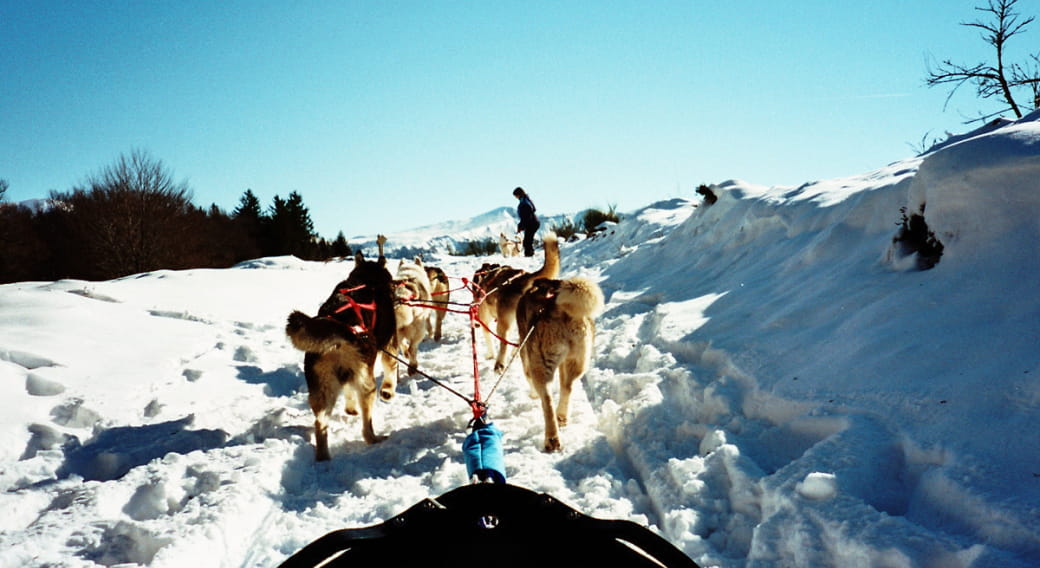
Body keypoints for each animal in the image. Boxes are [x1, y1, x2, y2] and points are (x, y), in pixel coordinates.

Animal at [287, 245, 399, 457]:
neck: (367, 281)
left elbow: (348, 392)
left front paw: (350, 409)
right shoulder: (389, 345)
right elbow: (391, 370)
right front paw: (388, 392)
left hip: (322, 391)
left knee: (320, 425)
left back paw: (323, 457)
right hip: (367, 386)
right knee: (366, 427)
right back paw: (375, 439)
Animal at [474, 229, 561, 370]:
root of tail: (523, 278)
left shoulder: (484, 320)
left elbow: (488, 339)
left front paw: (490, 355)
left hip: (504, 322)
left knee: (504, 341)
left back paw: (499, 364)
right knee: (522, 339)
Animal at [517, 274, 607, 451]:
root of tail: (558, 308)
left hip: (540, 364)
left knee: (547, 400)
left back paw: (551, 438)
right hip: (578, 361)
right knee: (567, 387)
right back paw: (561, 417)